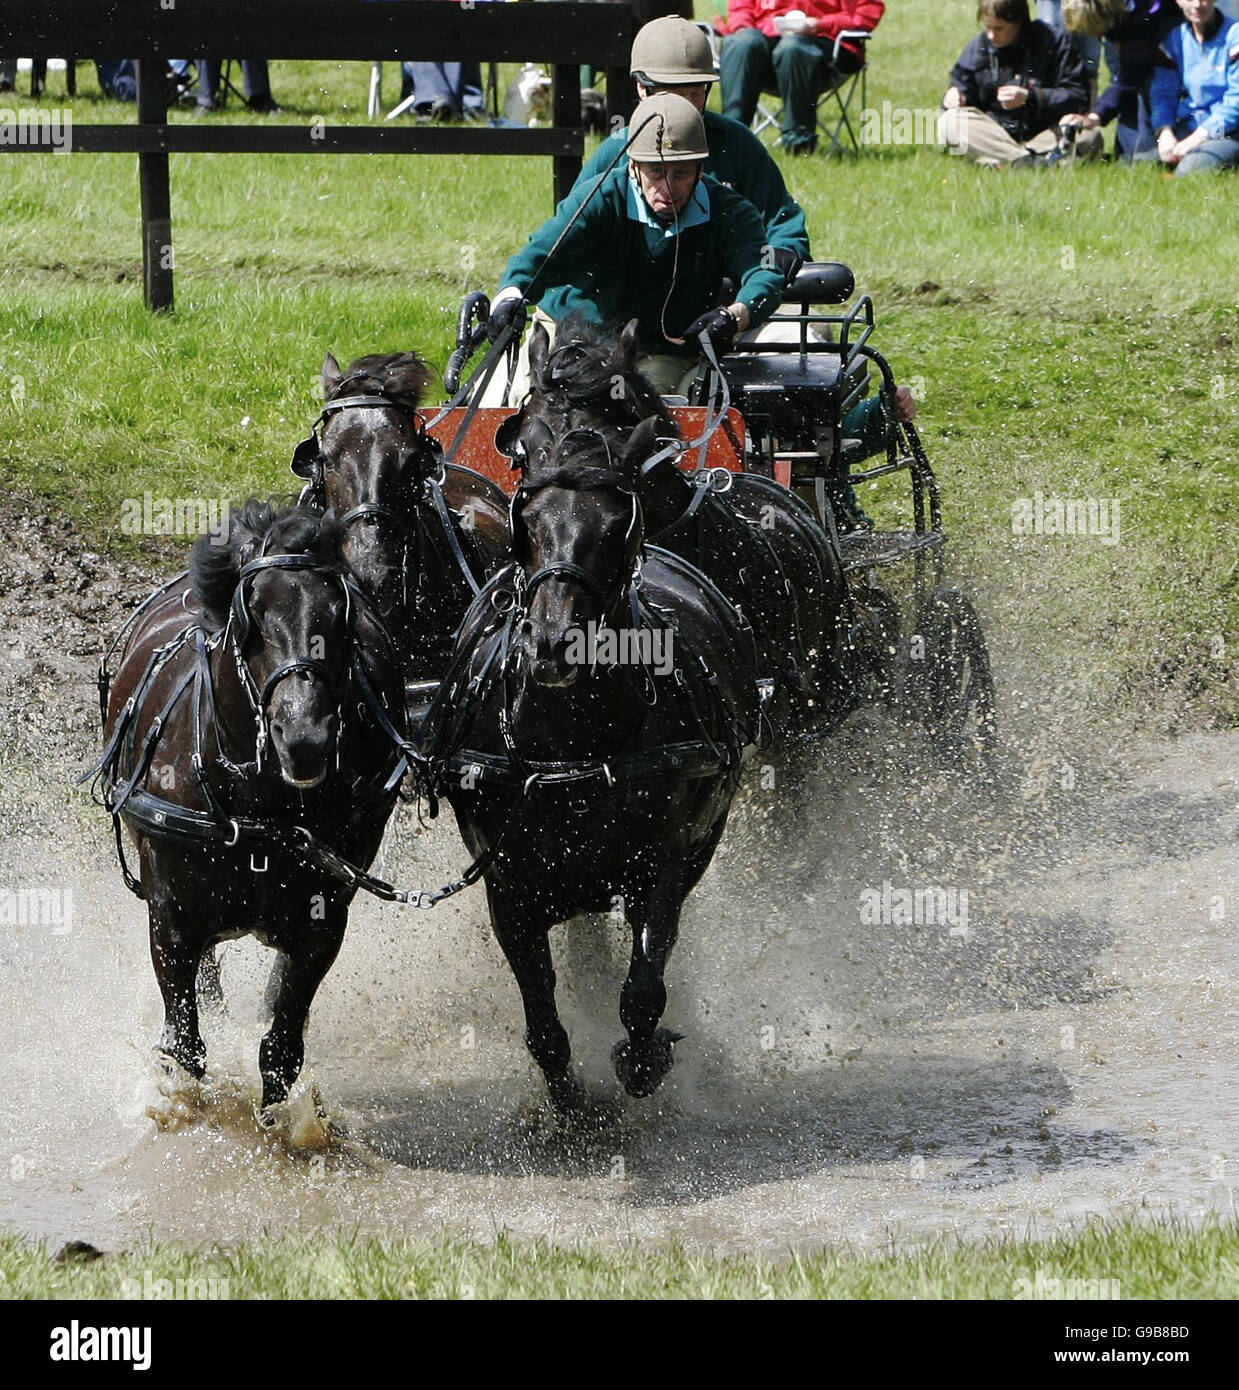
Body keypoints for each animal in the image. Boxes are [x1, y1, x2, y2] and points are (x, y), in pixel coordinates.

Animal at [95, 500, 411, 1117]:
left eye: (339, 617)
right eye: (254, 618)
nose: (305, 737)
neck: (262, 806)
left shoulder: (322, 922)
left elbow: (281, 1049)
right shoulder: (170, 917)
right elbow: (186, 1043)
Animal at [422, 419, 762, 1117]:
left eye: (613, 523)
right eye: (525, 518)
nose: (553, 643)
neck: (570, 741)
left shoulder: (663, 863)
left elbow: (646, 983)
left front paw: (643, 1058)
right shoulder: (511, 888)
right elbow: (541, 1015)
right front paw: (570, 1100)